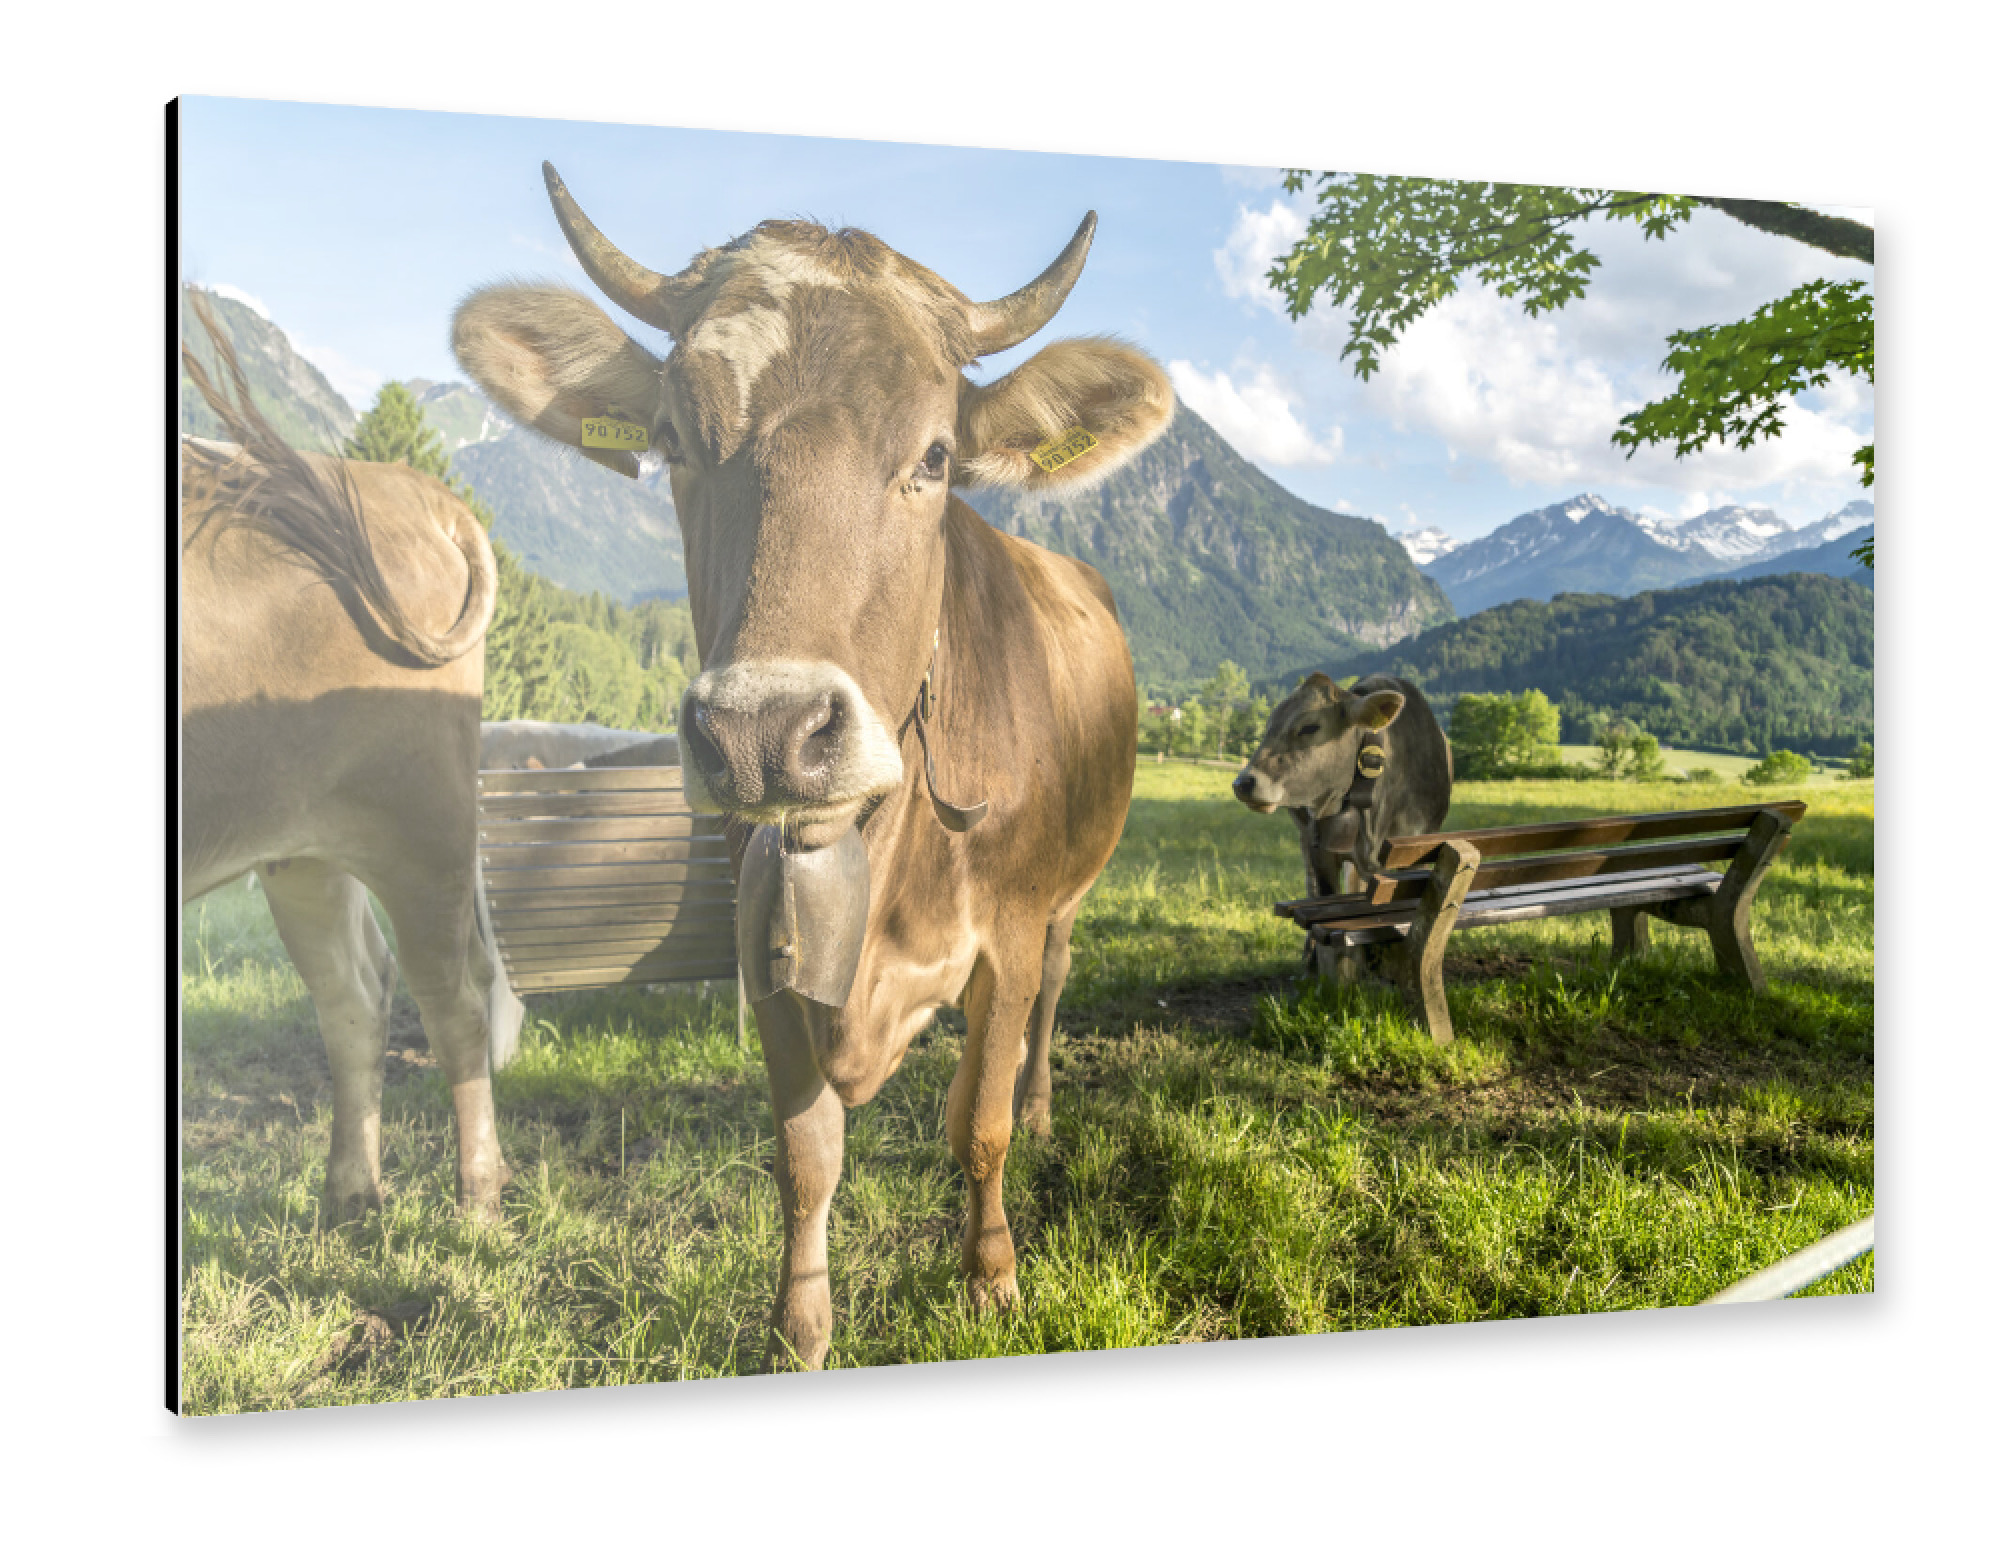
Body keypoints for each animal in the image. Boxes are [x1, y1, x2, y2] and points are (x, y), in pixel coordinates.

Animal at [181, 301, 515, 1221]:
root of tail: (403, 482)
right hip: (303, 845)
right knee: (354, 997)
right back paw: (350, 1197)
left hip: (422, 821)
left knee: (452, 1003)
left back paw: (477, 1202)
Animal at [452, 163, 1174, 1367]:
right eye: (673, 439)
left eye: (935, 457)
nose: (763, 731)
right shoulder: (767, 950)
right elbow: (805, 1159)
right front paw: (800, 1328)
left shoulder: (1007, 933)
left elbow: (976, 1127)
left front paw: (991, 1277)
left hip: (1070, 894)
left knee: (1048, 1007)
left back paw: (1040, 1107)